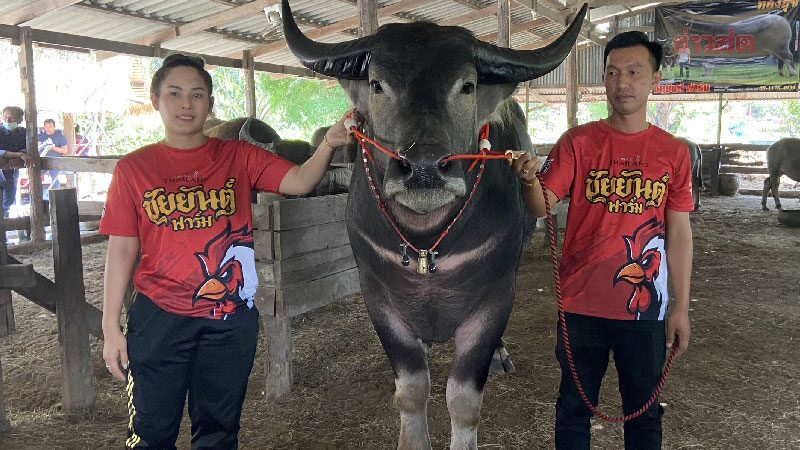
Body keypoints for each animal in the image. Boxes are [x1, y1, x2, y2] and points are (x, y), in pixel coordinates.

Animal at [281, 1, 586, 448]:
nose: (423, 168)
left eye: (467, 86)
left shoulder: (495, 297)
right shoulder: (377, 296)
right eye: (377, 85)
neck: (426, 242)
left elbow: (463, 397)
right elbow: (411, 388)